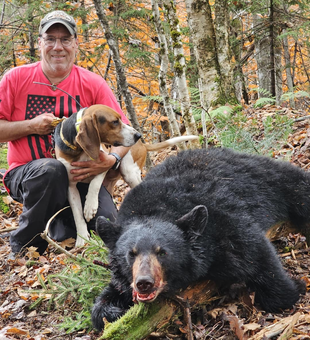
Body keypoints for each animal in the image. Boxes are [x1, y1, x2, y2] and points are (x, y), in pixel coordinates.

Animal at [91, 147, 308, 330]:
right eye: (131, 254)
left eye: (162, 252)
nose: (144, 283)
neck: (153, 209)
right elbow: (106, 301)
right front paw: (113, 311)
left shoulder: (219, 224)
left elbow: (254, 252)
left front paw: (293, 289)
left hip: (267, 178)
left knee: (297, 187)